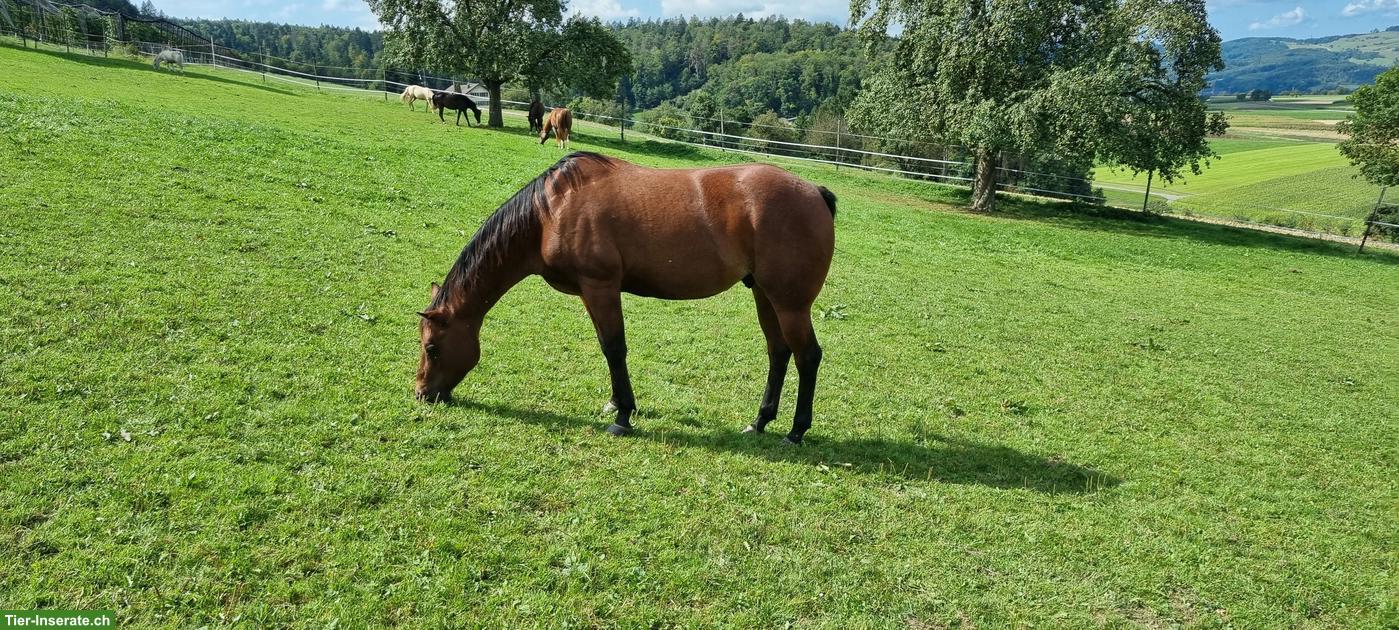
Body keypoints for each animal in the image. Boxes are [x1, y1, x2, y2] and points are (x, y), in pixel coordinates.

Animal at [415, 152, 837, 445]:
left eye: (433, 348)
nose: (422, 394)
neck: (549, 213)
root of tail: (815, 192)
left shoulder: (600, 286)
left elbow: (614, 348)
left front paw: (622, 417)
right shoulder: (591, 292)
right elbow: (609, 349)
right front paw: (617, 404)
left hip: (790, 304)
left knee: (807, 356)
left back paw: (796, 432)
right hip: (765, 296)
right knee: (779, 354)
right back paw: (760, 421)